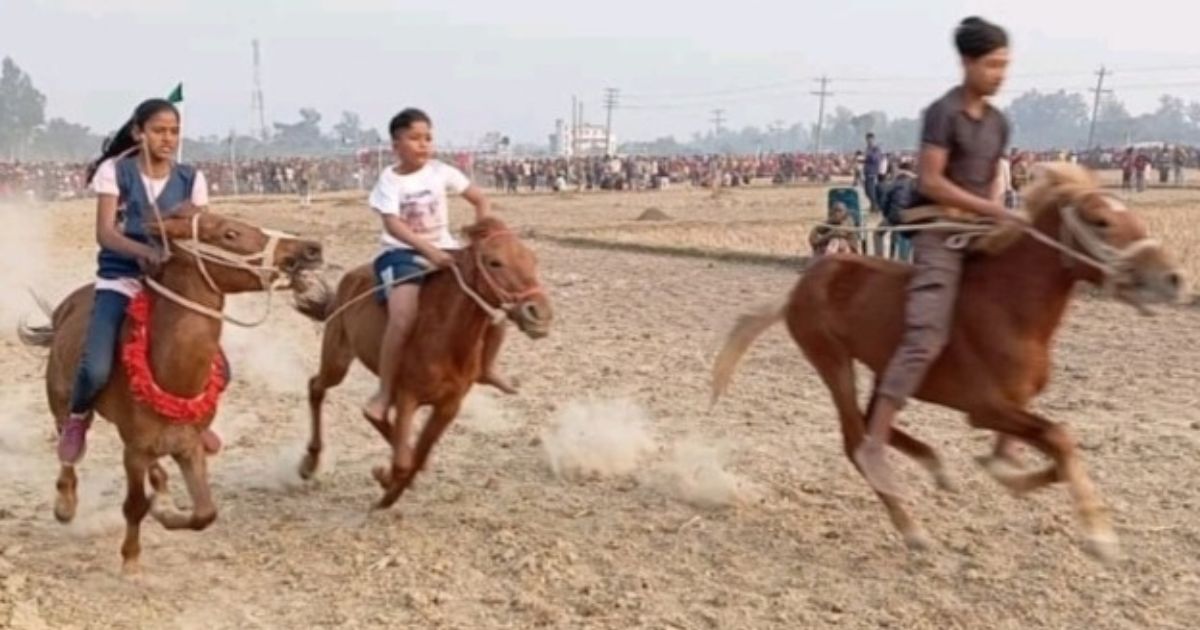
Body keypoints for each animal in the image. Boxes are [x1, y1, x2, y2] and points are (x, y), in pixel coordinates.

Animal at [21, 210, 326, 568]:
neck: (170, 372)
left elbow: (205, 512)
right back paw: (66, 503)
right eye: (230, 233)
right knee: (68, 445)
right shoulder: (134, 452)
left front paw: (166, 512)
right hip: (61, 401)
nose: (311, 249)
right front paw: (131, 560)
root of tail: (61, 311)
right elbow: (134, 506)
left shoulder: (188, 446)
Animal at [295, 216, 552, 506]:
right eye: (494, 262)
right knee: (317, 387)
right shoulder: (408, 397)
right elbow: (404, 463)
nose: (539, 313)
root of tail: (348, 280)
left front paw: (390, 478)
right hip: (337, 360)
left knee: (375, 417)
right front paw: (386, 489)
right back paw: (310, 462)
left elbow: (417, 457)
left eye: (532, 259)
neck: (446, 337)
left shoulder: (448, 405)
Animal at [710, 163, 1180, 559]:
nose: (1173, 278)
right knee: (856, 438)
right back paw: (912, 529)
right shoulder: (985, 408)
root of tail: (802, 285)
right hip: (831, 359)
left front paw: (1009, 477)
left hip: (883, 368)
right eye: (1101, 221)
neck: (1011, 308)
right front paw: (1100, 537)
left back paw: (935, 466)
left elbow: (1022, 457)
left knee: (873, 420)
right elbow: (1059, 438)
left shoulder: (1013, 406)